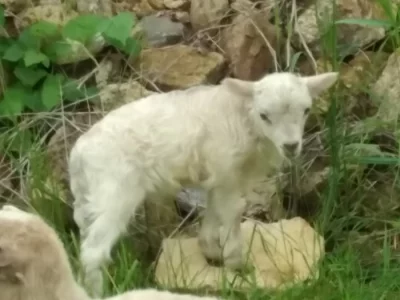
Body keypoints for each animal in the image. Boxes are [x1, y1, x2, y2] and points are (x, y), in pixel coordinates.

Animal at [68, 71, 338, 296]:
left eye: (306, 110)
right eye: (264, 115)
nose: (291, 146)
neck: (244, 119)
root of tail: (78, 155)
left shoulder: (217, 177)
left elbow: (213, 212)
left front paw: (211, 252)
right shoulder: (227, 172)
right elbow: (232, 212)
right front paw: (237, 265)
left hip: (90, 197)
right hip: (115, 191)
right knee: (93, 252)